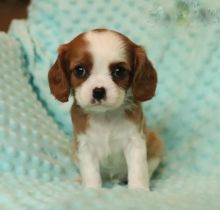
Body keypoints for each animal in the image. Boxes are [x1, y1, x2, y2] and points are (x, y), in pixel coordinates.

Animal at [49, 29, 164, 190]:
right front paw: (91, 190)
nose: (98, 91)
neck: (105, 116)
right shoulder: (85, 146)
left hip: (155, 142)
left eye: (119, 71)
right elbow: (90, 173)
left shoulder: (135, 142)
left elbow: (138, 170)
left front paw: (139, 190)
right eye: (79, 70)